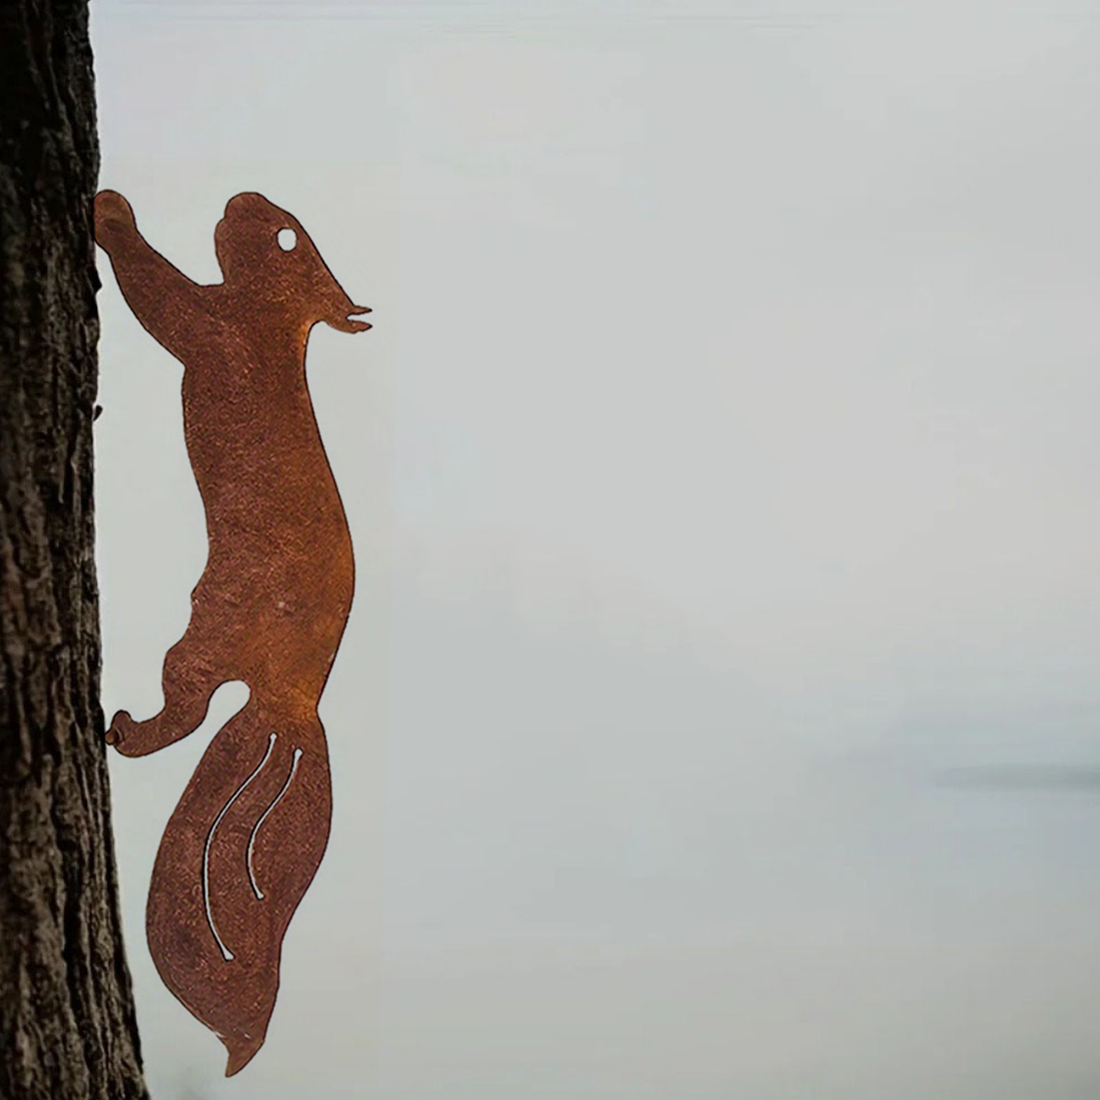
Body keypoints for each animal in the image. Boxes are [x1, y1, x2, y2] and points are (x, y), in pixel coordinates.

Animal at [94, 190, 371, 1076]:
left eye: (284, 236)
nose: (239, 199)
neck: (275, 325)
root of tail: (294, 702)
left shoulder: (214, 327)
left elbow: (161, 295)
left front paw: (112, 214)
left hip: (202, 636)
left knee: (183, 711)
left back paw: (123, 728)